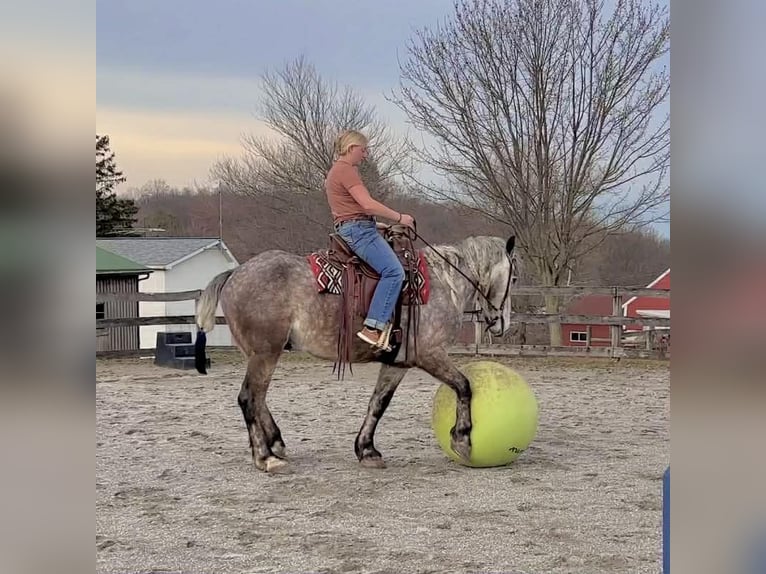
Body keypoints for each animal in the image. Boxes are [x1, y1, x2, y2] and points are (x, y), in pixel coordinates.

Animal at [193, 227, 519, 473]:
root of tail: (234, 273)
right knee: (249, 398)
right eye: (514, 278)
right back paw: (265, 457)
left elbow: (378, 404)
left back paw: (276, 443)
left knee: (259, 398)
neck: (444, 283)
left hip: (260, 355)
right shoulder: (430, 355)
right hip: (265, 354)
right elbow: (464, 386)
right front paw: (462, 438)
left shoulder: (397, 363)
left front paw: (367, 449)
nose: (501, 323)